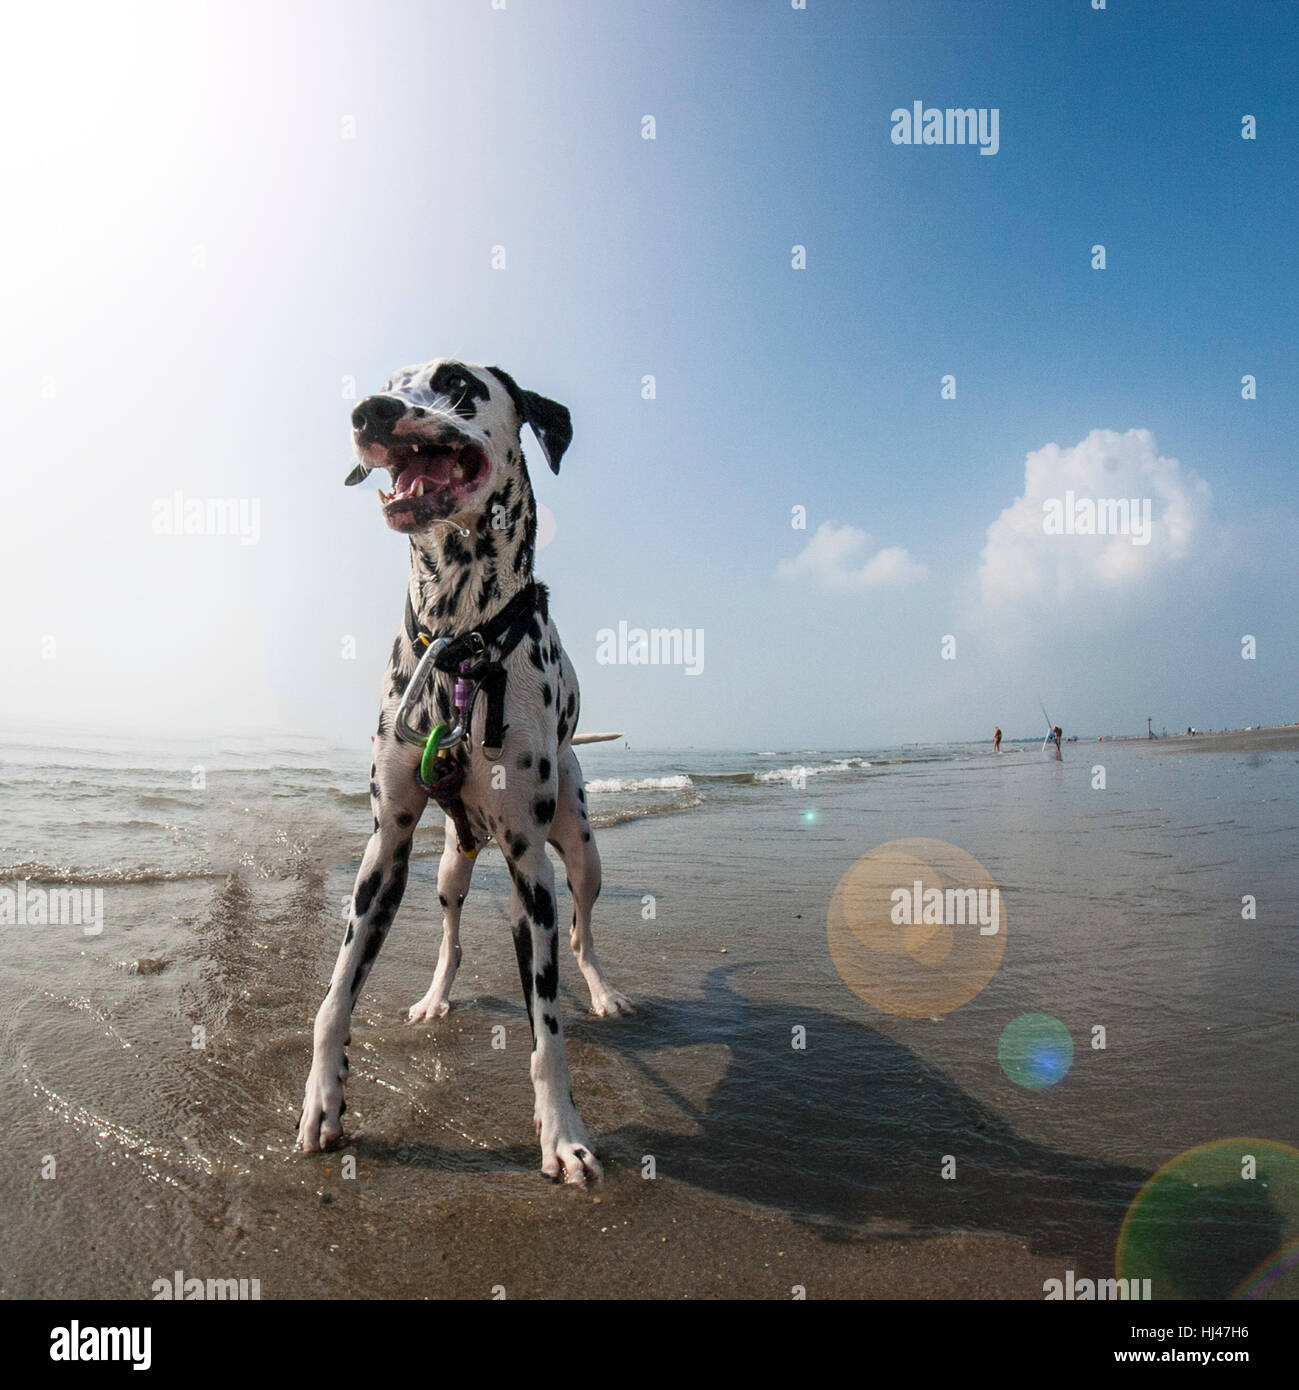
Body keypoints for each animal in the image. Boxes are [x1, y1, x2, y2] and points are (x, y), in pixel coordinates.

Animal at [300, 358, 636, 1184]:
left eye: (457, 385)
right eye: (391, 383)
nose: (369, 412)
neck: (460, 637)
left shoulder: (527, 866)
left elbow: (547, 1032)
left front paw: (562, 1133)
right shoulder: (384, 847)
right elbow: (335, 993)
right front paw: (322, 1096)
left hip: (577, 852)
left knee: (580, 932)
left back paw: (604, 993)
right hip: (452, 864)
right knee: (451, 933)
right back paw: (433, 999)